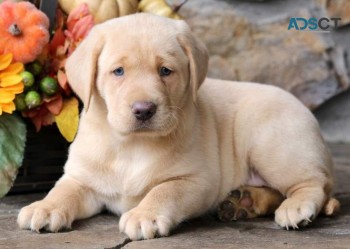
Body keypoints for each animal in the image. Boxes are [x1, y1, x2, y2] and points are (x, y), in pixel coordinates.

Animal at [17, 13, 340, 239]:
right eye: (118, 71)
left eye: (165, 71)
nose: (144, 109)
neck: (131, 144)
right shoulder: (82, 177)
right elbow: (63, 190)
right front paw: (44, 207)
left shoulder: (195, 180)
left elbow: (164, 191)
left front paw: (144, 215)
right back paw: (244, 201)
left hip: (273, 146)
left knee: (314, 184)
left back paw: (295, 207)